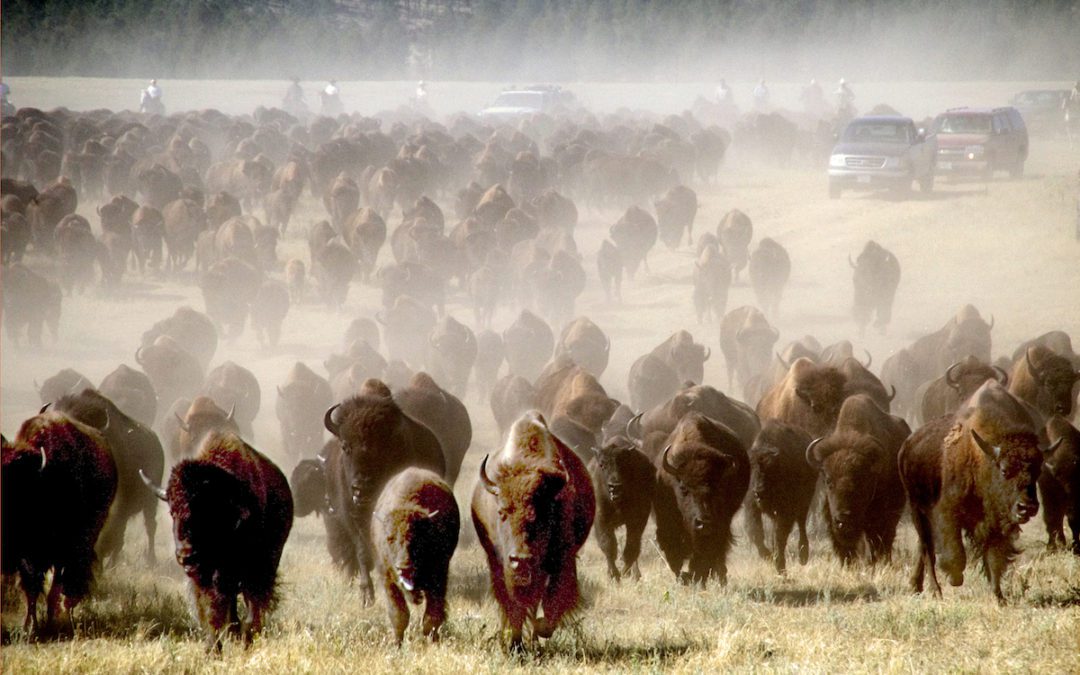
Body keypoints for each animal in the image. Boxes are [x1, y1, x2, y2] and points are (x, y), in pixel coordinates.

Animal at [371, 466, 460, 643]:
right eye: (390, 538)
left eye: (418, 538)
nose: (404, 566)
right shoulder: (387, 579)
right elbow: (399, 616)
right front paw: (397, 644)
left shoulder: (439, 576)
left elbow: (432, 617)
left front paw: (431, 642)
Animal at [898, 380, 1049, 600]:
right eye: (1004, 470)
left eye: (1037, 471)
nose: (1027, 507)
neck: (981, 462)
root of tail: (907, 444)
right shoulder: (948, 513)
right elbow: (956, 554)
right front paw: (955, 579)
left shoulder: (996, 524)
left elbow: (995, 558)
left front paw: (998, 596)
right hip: (917, 509)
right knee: (927, 548)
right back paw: (935, 590)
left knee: (924, 548)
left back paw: (916, 586)